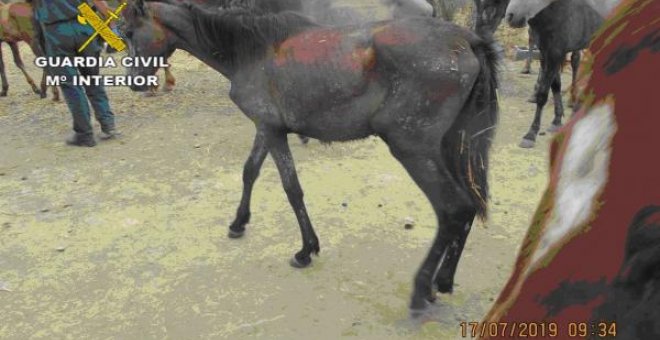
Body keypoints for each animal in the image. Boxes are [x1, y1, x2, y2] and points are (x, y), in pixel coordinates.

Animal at [121, 0, 498, 310]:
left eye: (128, 32)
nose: (135, 83)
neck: (250, 51)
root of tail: (466, 40)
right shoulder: (267, 128)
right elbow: (250, 171)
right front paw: (239, 222)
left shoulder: (273, 133)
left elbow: (292, 188)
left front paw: (306, 250)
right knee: (468, 206)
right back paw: (443, 281)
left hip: (413, 151)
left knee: (453, 209)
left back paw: (421, 289)